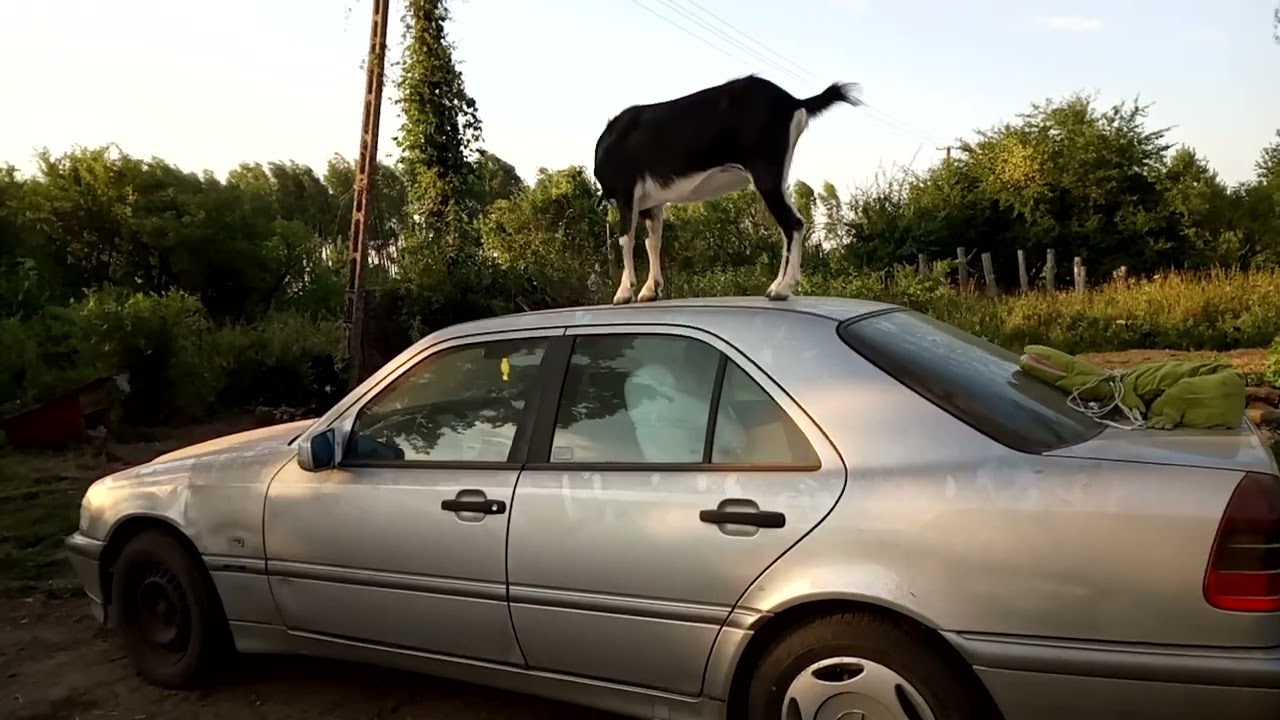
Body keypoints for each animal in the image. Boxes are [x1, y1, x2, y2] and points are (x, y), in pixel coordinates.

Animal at [592, 74, 863, 304]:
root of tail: (793, 101)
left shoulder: (626, 192)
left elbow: (625, 238)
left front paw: (623, 292)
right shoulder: (653, 203)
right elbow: (653, 241)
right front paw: (650, 290)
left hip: (766, 175)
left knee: (792, 223)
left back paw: (782, 289)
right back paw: (776, 286)